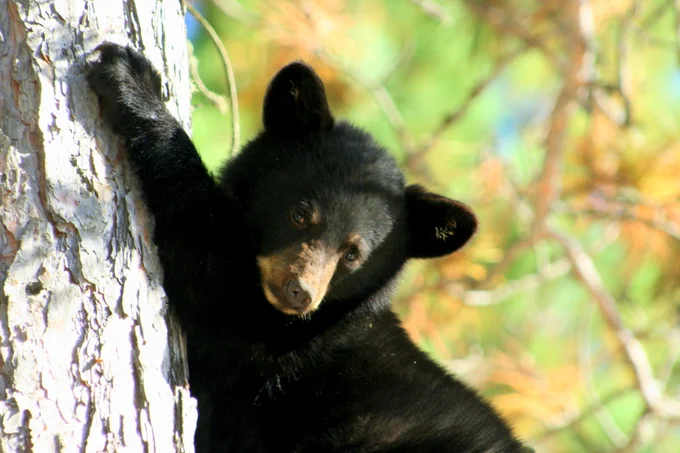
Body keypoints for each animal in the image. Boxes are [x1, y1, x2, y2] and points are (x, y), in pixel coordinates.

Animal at [86, 43, 532, 453]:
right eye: (301, 214)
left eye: (353, 254)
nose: (298, 291)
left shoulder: (267, 345)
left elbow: (206, 261)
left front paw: (132, 81)